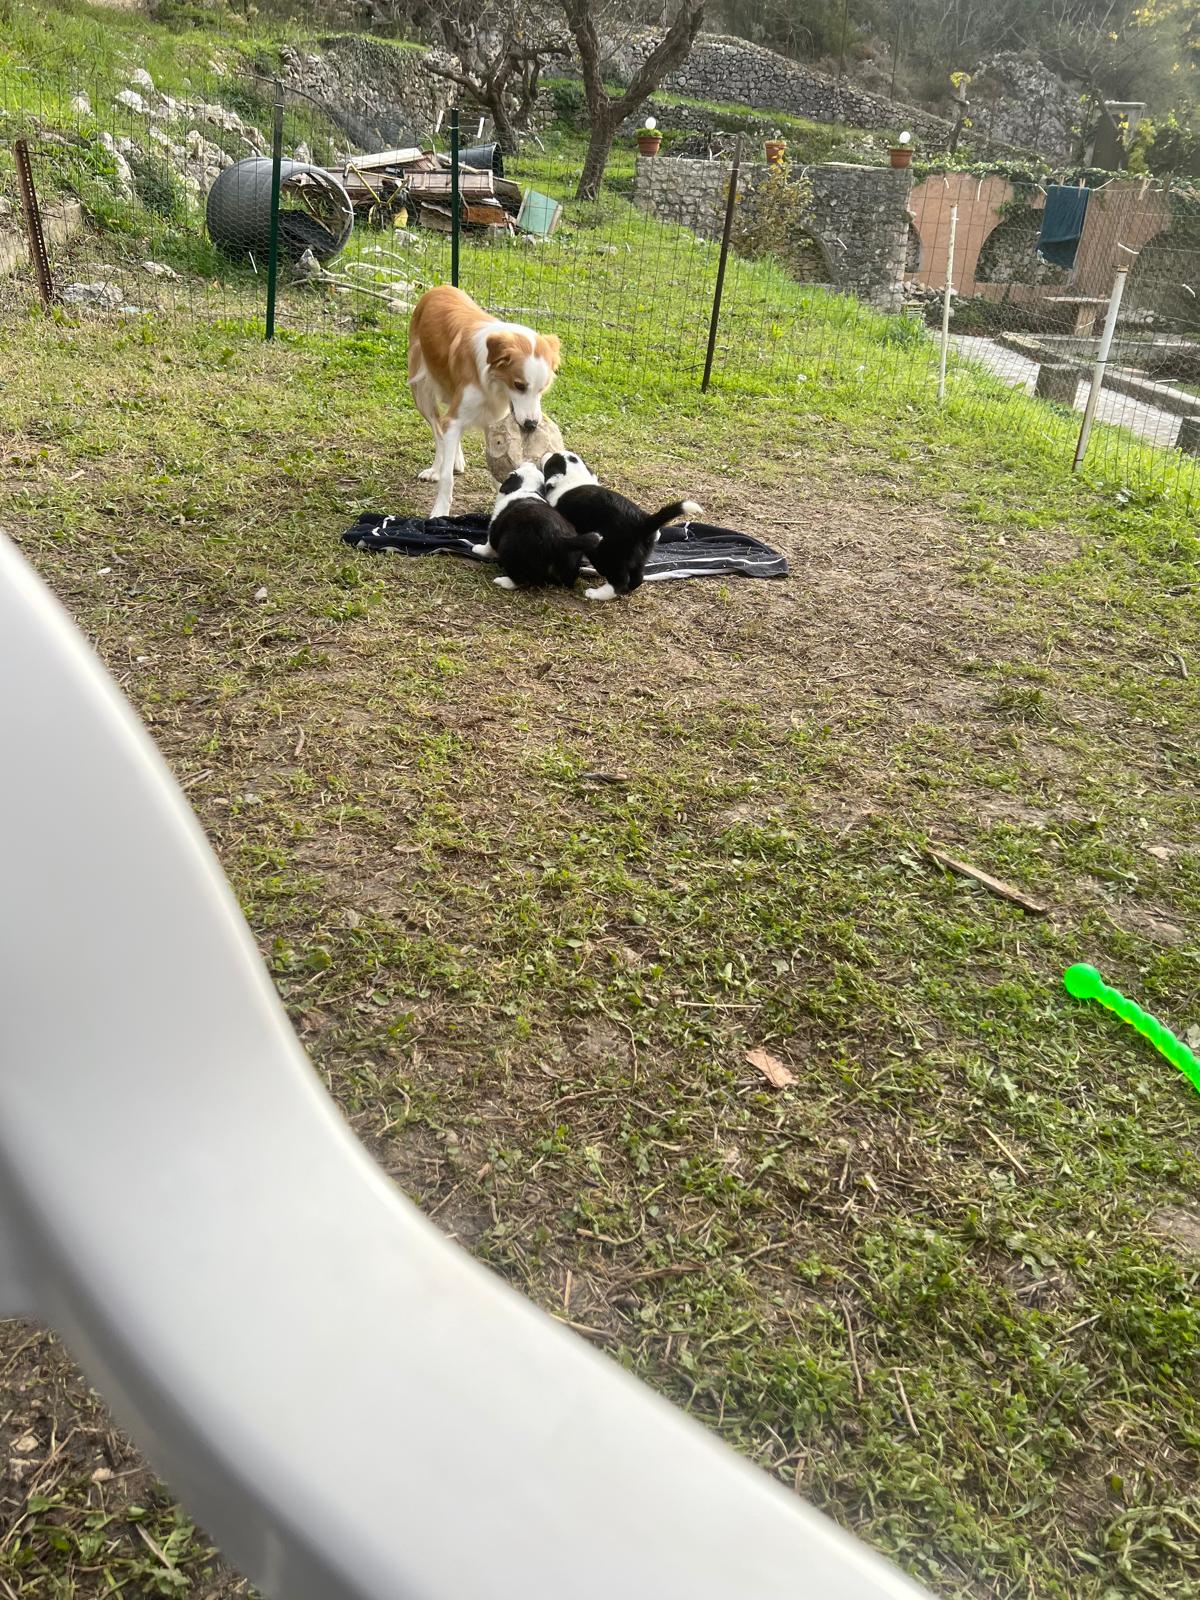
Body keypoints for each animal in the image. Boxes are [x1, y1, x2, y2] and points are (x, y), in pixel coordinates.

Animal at [407, 286, 561, 519]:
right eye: (519, 385)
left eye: (542, 389)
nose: (532, 425)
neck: (493, 384)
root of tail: (439, 288)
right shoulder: (456, 416)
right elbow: (447, 477)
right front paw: (440, 510)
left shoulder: (494, 420)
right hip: (421, 390)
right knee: (438, 430)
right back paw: (436, 468)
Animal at [473, 462, 599, 591]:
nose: (531, 463)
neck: (527, 489)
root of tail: (559, 539)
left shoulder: (494, 528)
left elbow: (488, 546)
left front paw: (477, 549)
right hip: (571, 563)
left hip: (510, 548)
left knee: (521, 580)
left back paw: (502, 581)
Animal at [540, 451, 702, 602]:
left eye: (550, 461)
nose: (546, 453)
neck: (575, 479)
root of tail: (643, 523)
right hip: (639, 557)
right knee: (637, 578)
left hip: (607, 555)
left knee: (619, 580)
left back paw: (595, 594)